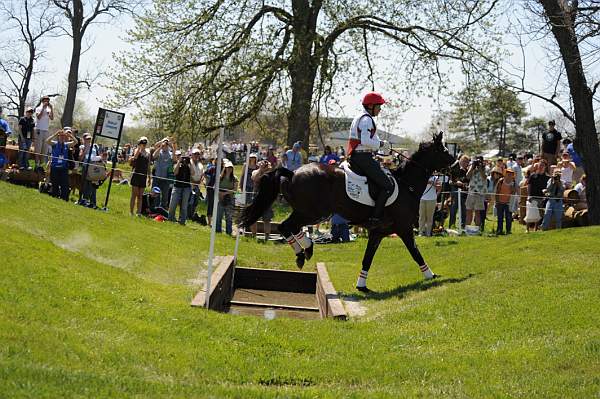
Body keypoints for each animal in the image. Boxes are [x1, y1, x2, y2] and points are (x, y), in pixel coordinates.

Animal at [239, 133, 454, 292]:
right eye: (444, 151)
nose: (456, 169)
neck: (406, 185)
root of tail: (292, 173)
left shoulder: (378, 232)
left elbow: (368, 258)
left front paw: (362, 285)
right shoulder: (404, 228)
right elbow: (415, 252)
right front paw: (430, 275)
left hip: (308, 212)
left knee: (291, 227)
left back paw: (305, 250)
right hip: (312, 213)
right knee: (287, 226)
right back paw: (304, 251)